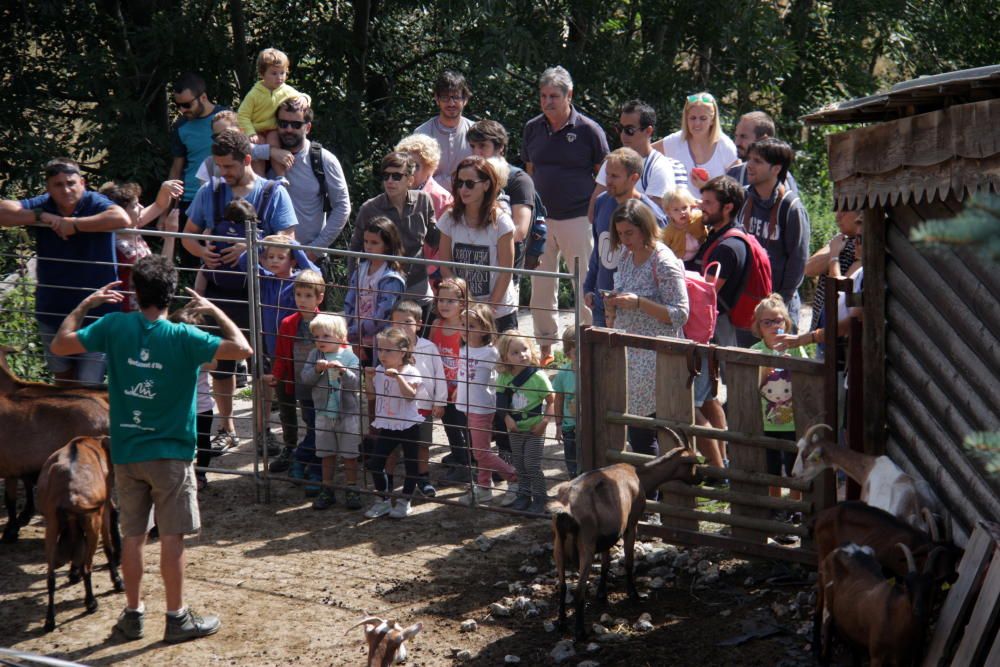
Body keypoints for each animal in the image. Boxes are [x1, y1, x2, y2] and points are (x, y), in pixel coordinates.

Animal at [38, 436, 122, 636]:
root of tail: (69, 494)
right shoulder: (103, 511)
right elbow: (108, 546)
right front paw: (116, 580)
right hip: (92, 523)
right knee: (87, 567)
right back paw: (91, 602)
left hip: (52, 528)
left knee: (51, 577)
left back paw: (49, 620)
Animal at [552, 430, 700, 640]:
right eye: (693, 462)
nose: (700, 478)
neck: (638, 475)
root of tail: (566, 508)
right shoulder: (631, 523)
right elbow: (629, 561)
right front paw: (634, 594)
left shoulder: (606, 534)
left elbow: (605, 563)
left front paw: (602, 595)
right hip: (585, 544)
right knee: (579, 589)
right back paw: (580, 632)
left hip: (559, 543)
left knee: (563, 584)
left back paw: (562, 623)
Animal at [812, 544, 944, 664]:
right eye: (906, 585)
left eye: (932, 587)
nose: (919, 610)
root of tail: (843, 548)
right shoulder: (877, 656)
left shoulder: (903, 659)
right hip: (827, 596)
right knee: (827, 623)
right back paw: (822, 657)